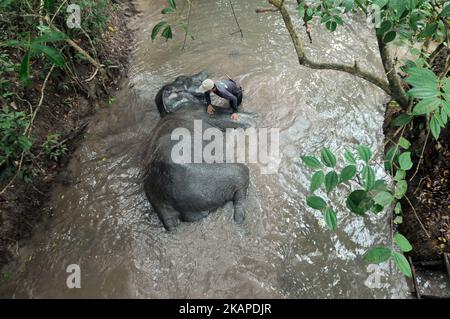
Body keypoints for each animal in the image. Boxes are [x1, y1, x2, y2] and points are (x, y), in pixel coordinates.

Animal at [142, 72, 251, 231]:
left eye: (179, 78)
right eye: (184, 79)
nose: (204, 72)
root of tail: (164, 207)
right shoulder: (203, 113)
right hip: (218, 177)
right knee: (241, 178)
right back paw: (239, 218)